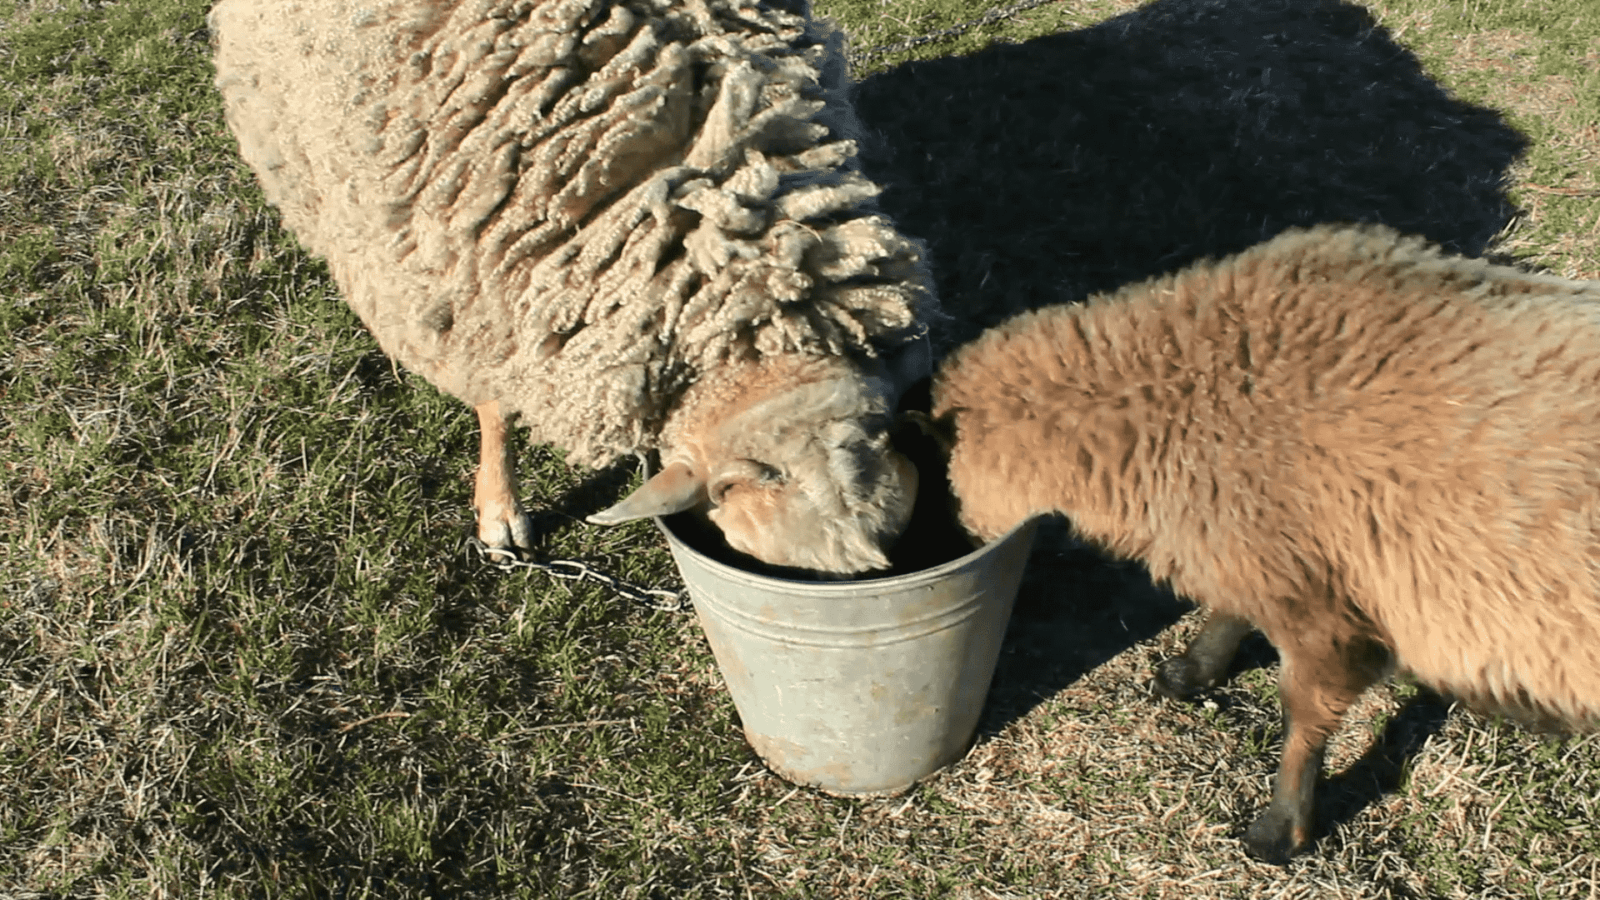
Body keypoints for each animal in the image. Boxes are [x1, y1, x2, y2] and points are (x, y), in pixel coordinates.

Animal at [928, 220, 1600, 858]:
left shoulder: (1324, 603)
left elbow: (1306, 709)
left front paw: (1281, 831)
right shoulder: (1265, 552)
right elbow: (1233, 610)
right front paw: (1192, 672)